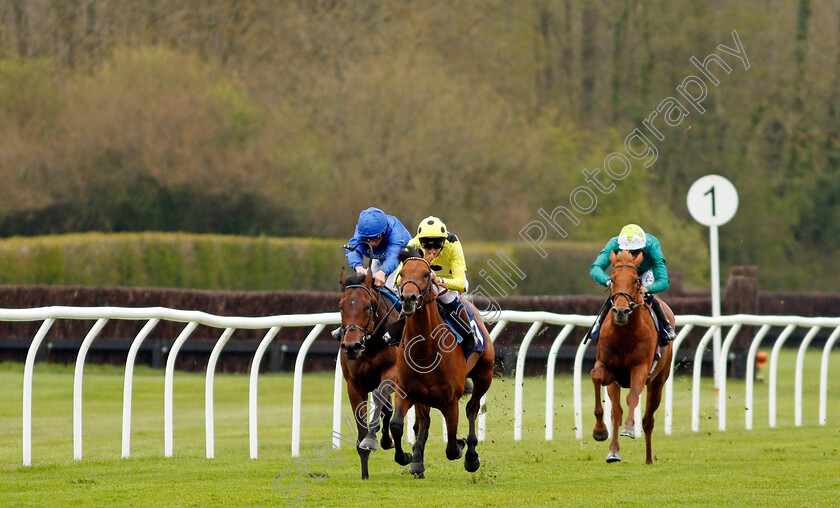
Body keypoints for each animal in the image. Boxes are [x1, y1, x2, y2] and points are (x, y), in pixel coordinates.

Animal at [336, 268, 402, 478]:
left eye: (367, 306)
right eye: (341, 306)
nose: (351, 346)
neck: (372, 343)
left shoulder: (393, 372)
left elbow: (381, 397)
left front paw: (374, 439)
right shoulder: (354, 385)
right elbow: (362, 425)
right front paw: (365, 473)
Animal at [390, 252, 496, 478]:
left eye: (426, 274)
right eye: (402, 274)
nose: (408, 299)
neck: (425, 350)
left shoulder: (451, 400)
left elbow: (452, 445)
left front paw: (463, 447)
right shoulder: (406, 391)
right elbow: (396, 425)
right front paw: (407, 457)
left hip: (485, 376)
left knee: (472, 408)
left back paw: (471, 455)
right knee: (424, 421)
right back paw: (417, 461)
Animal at [592, 249, 676, 464]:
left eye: (636, 280)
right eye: (612, 279)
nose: (621, 311)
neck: (624, 334)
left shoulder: (640, 368)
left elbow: (632, 397)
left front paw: (629, 428)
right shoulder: (609, 370)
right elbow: (598, 379)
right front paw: (600, 432)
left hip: (658, 382)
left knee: (648, 419)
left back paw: (648, 458)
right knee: (619, 412)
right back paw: (614, 450)